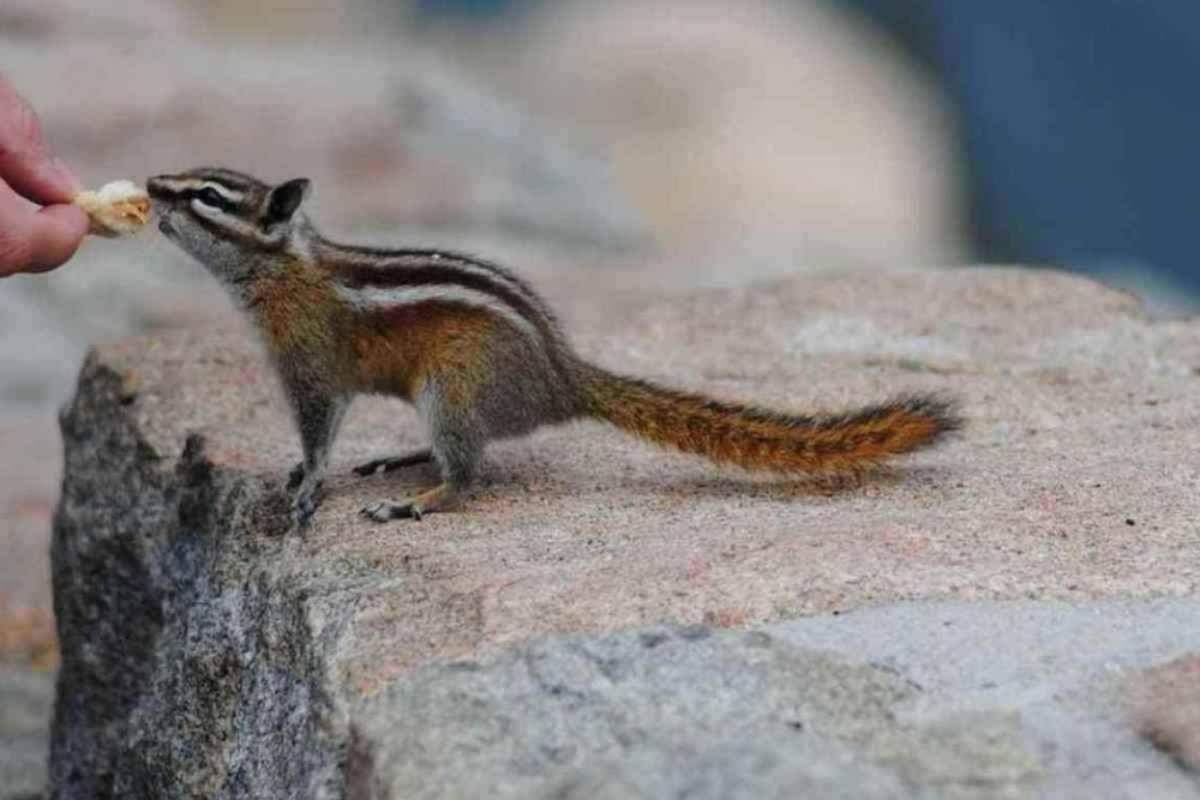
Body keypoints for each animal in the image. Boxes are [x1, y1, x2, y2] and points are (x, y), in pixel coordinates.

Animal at [146, 168, 961, 527]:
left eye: (207, 196)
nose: (153, 185)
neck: (286, 269)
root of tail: (563, 377)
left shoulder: (310, 367)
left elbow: (318, 432)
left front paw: (308, 486)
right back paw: (407, 460)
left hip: (452, 387)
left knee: (470, 473)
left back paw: (420, 498)